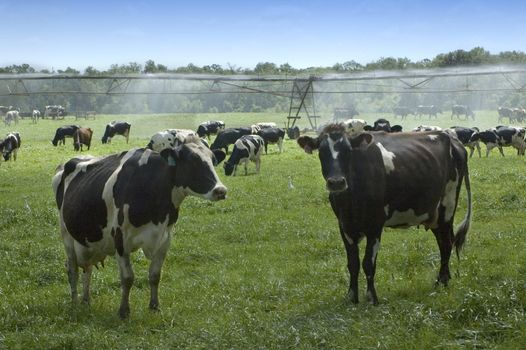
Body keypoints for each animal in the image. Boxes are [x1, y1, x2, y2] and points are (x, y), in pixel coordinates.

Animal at [296, 124, 474, 304]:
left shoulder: (375, 224)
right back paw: (445, 279)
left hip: (447, 207)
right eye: (321, 152)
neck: (351, 199)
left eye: (348, 151)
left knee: (446, 243)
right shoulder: (344, 225)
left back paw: (441, 282)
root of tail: (450, 137)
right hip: (434, 214)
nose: (337, 182)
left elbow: (368, 263)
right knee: (445, 241)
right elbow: (353, 263)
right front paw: (351, 297)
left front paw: (372, 298)